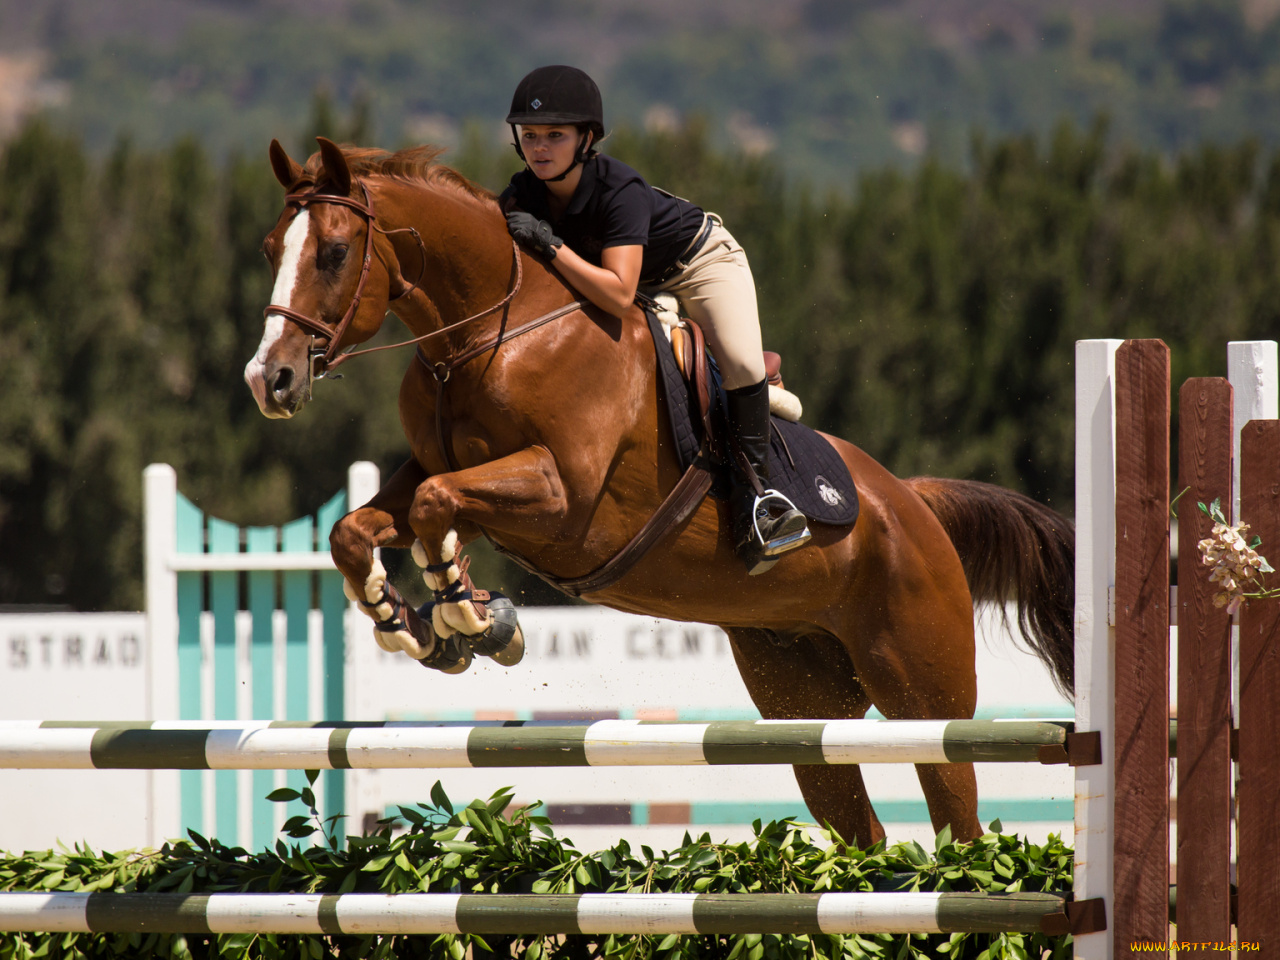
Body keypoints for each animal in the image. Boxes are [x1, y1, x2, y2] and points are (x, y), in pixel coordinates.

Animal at [241, 136, 1070, 849]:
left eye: (335, 252)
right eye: (270, 250)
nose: (267, 380)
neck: (488, 337)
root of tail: (913, 504)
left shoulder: (562, 497)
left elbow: (435, 507)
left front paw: (471, 617)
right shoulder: (447, 475)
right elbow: (366, 527)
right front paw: (420, 624)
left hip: (924, 698)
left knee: (958, 816)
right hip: (805, 705)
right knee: (858, 830)